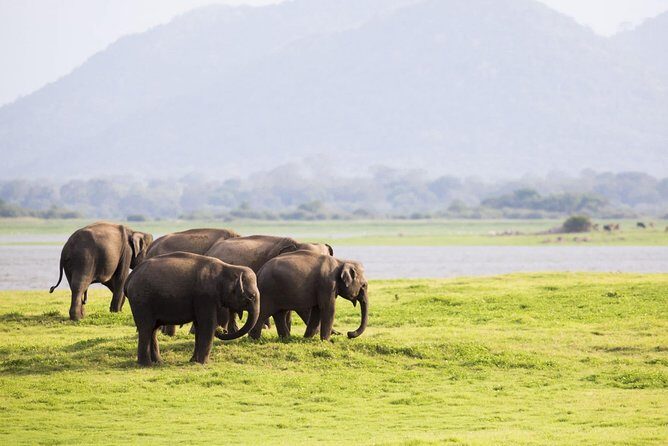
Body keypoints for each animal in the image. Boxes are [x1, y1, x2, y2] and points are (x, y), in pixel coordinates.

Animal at [124, 252, 260, 366]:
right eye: (252, 296)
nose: (223, 331)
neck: (228, 268)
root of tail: (129, 278)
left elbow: (199, 326)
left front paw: (194, 361)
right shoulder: (205, 297)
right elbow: (208, 325)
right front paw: (203, 363)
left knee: (153, 329)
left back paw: (158, 362)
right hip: (142, 302)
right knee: (146, 328)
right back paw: (146, 364)